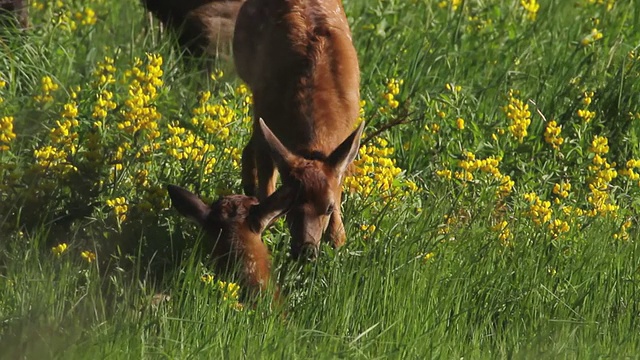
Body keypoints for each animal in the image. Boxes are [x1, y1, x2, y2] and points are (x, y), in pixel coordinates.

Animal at [234, 0, 364, 260]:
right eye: (289, 205)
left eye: (328, 207)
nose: (307, 251)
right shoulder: (266, 114)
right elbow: (267, 187)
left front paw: (338, 240)